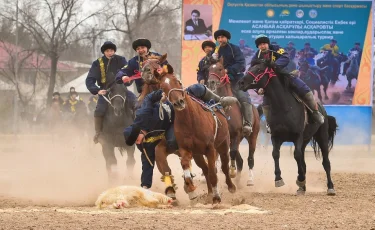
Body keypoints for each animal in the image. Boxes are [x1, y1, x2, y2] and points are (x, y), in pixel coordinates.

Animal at [206, 56, 262, 186]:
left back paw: (249, 179)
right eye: (209, 69)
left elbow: (232, 153)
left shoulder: (236, 134)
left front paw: (231, 171)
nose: (211, 82)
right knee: (240, 160)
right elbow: (217, 155)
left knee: (249, 158)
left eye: (220, 69)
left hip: (252, 137)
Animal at [239, 63, 340, 196]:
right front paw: (279, 179)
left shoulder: (297, 136)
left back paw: (330, 188)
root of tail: (322, 109)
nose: (241, 82)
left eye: (259, 69)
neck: (283, 107)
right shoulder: (276, 136)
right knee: (303, 162)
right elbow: (276, 154)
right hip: (305, 141)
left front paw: (300, 179)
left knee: (326, 163)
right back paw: (302, 188)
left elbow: (296, 155)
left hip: (321, 136)